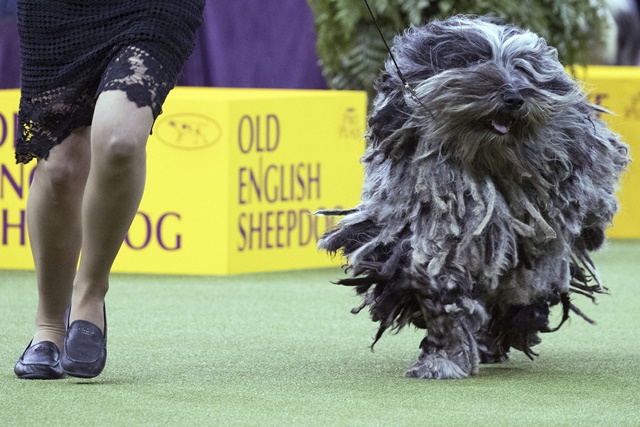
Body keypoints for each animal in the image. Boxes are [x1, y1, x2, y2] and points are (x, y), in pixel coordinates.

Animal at [318, 15, 628, 380]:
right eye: (474, 62)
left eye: (523, 68)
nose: (514, 98)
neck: (481, 166)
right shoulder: (426, 234)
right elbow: (438, 288)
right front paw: (443, 356)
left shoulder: (534, 242)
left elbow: (519, 288)